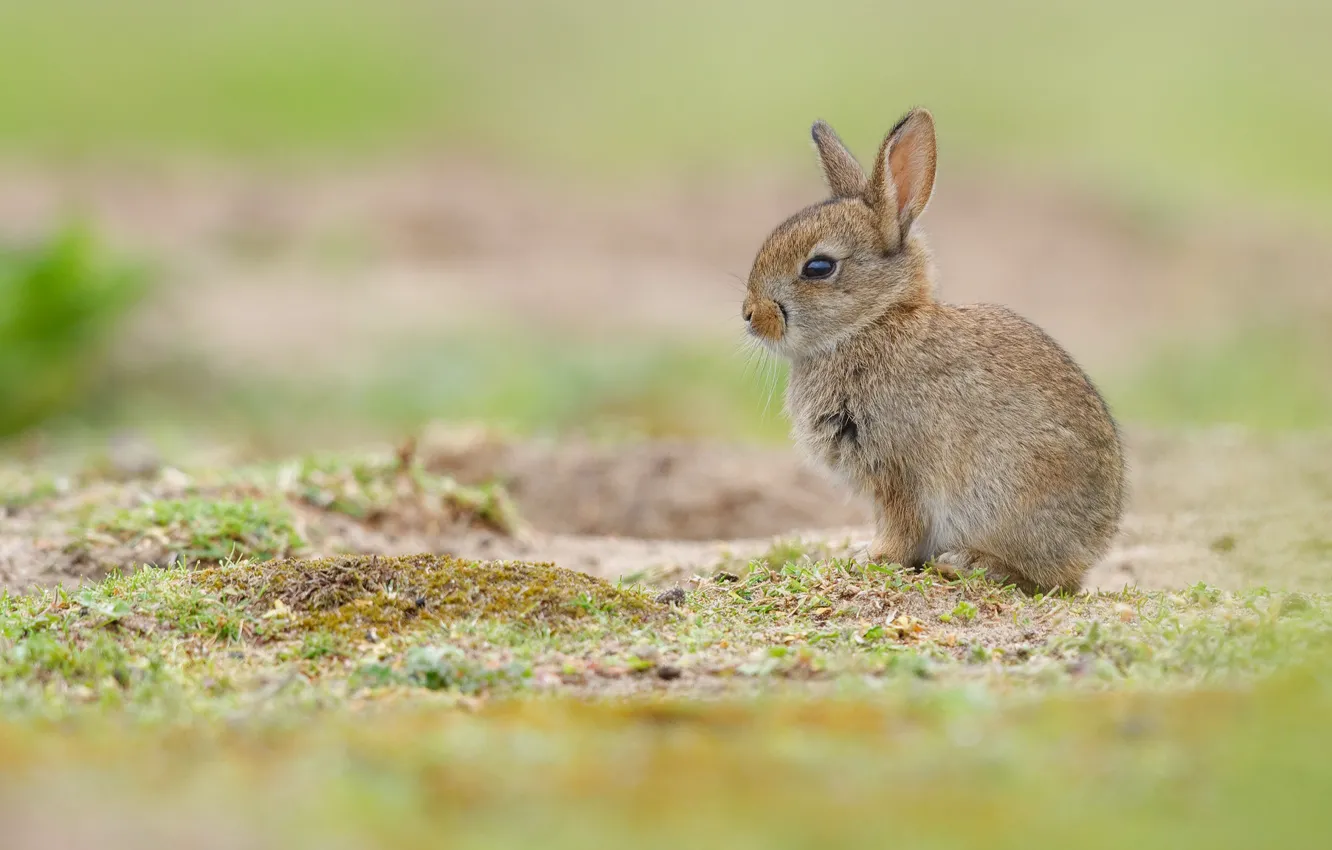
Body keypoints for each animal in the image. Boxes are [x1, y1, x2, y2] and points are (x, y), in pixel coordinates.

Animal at [741, 107, 1125, 594]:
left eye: (819, 267)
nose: (750, 315)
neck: (872, 323)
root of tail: (1089, 550)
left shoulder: (897, 469)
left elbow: (901, 524)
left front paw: (874, 558)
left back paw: (963, 562)